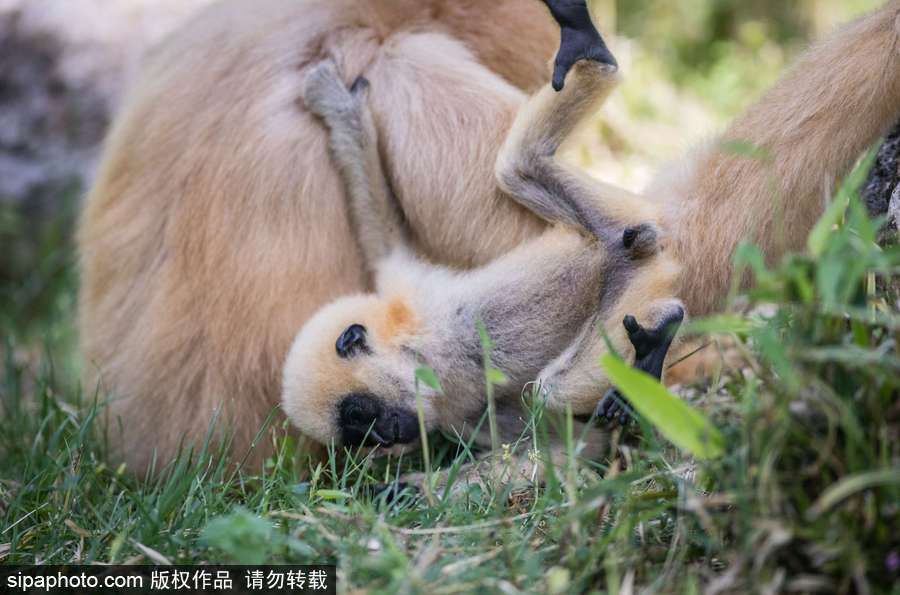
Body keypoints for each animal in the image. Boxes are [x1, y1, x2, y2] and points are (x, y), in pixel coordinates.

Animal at [78, 0, 900, 475]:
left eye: (361, 416)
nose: (387, 434)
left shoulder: (420, 297)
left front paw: (342, 117)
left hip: (618, 245)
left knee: (552, 204)